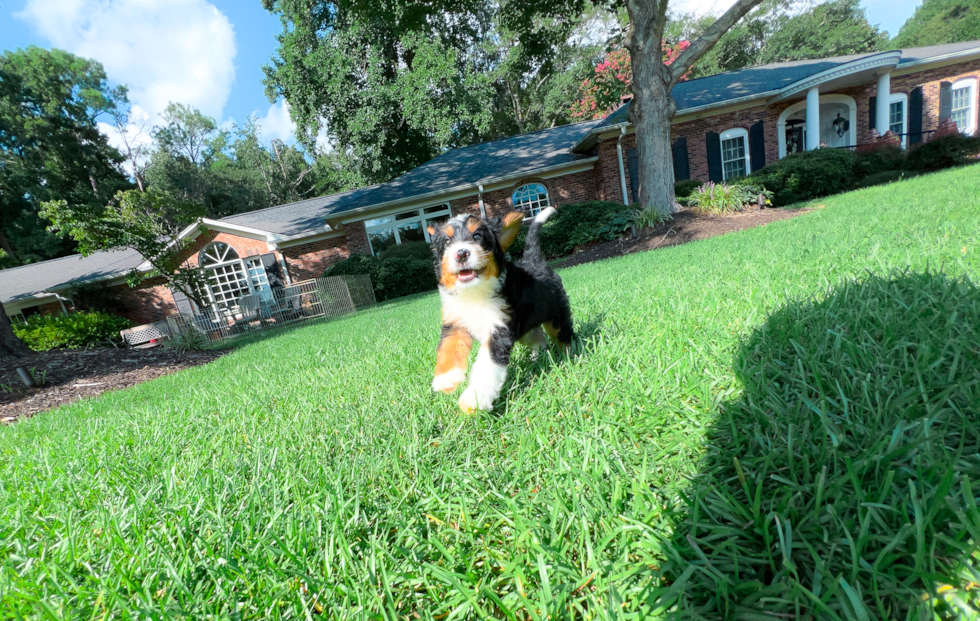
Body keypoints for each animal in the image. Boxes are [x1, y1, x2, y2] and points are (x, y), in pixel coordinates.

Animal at [424, 207, 576, 412]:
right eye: (447, 242)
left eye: (477, 236)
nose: (461, 254)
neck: (474, 292)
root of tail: (534, 260)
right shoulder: (455, 322)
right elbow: (449, 346)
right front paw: (446, 379)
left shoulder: (498, 329)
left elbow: (487, 366)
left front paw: (474, 399)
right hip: (525, 325)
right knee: (537, 337)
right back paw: (537, 356)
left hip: (556, 314)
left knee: (563, 334)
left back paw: (569, 355)